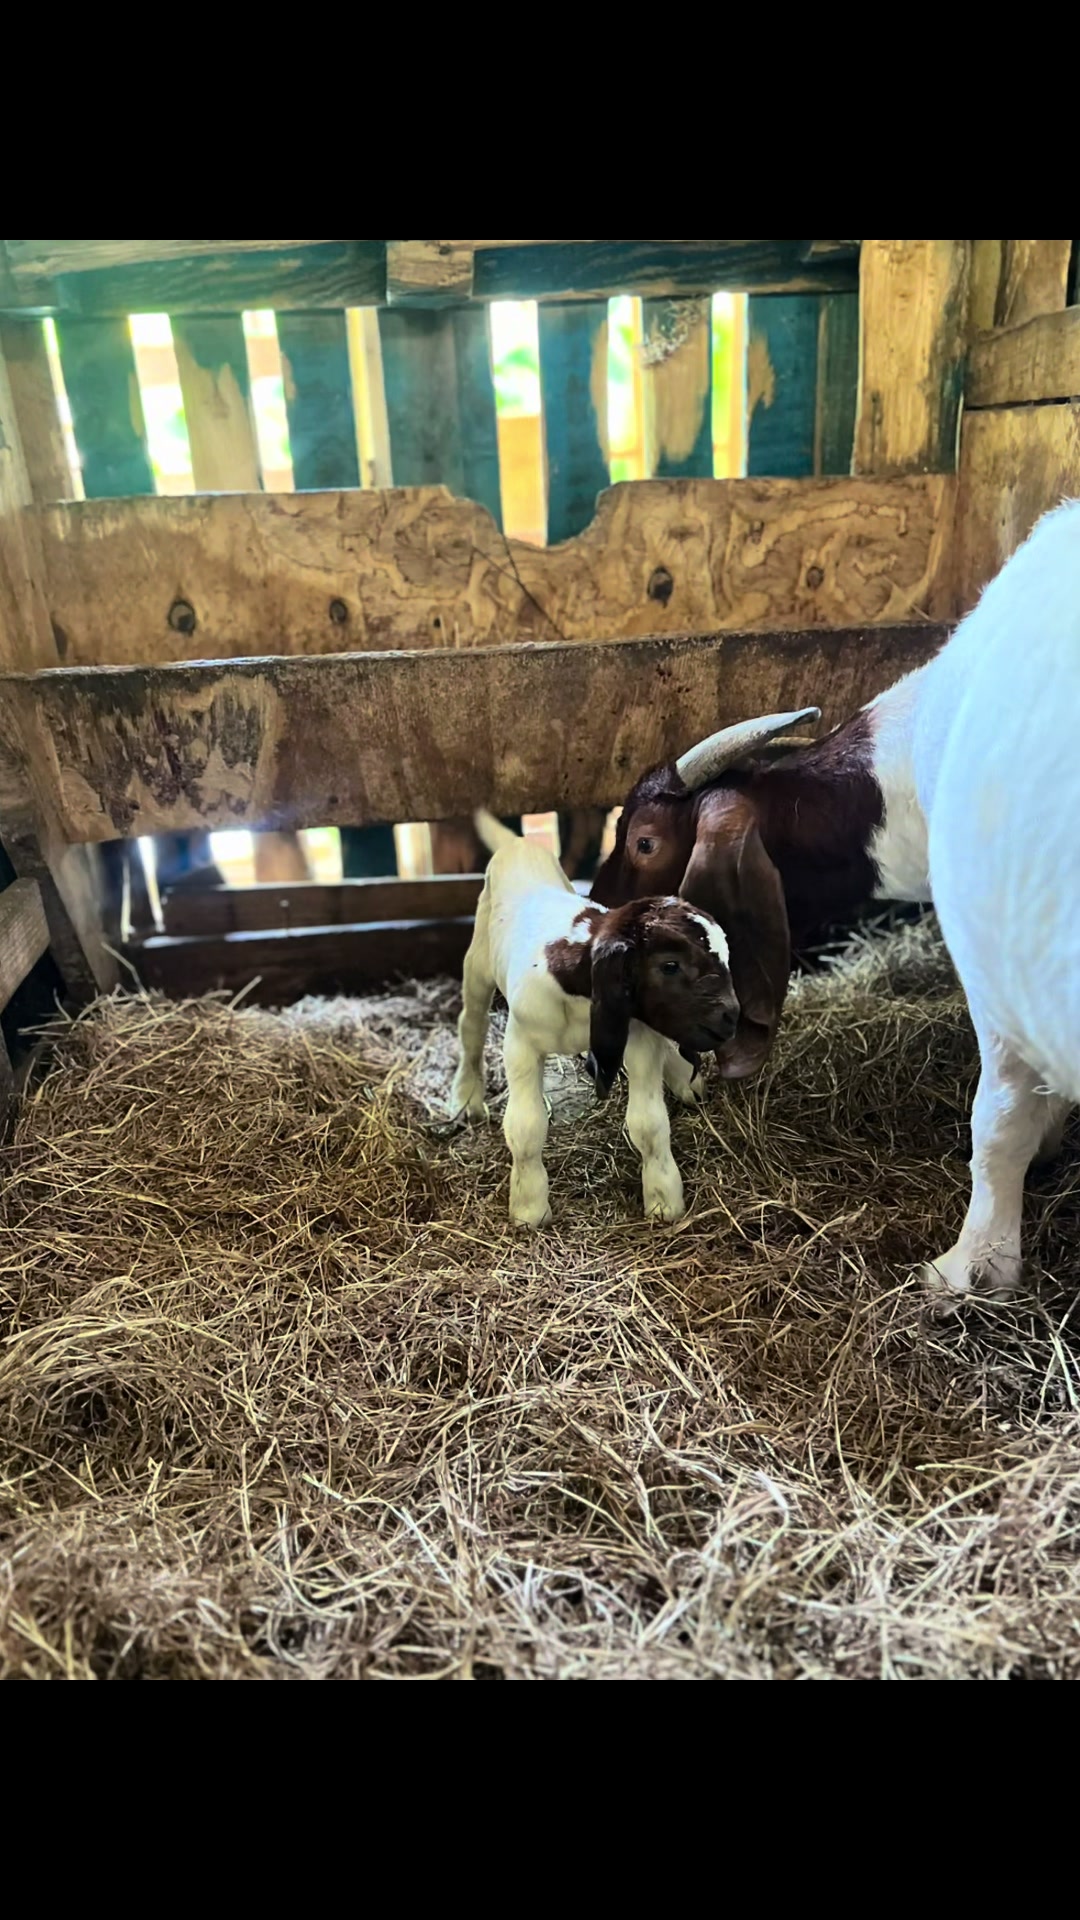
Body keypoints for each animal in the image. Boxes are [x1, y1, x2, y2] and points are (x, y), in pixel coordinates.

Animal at [450, 811, 740, 1229]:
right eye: (670, 965)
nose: (731, 1016)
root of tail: (518, 844)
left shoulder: (636, 1035)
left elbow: (649, 1123)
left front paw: (663, 1199)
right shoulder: (521, 1042)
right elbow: (525, 1126)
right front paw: (529, 1208)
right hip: (478, 958)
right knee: (471, 1023)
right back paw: (466, 1096)